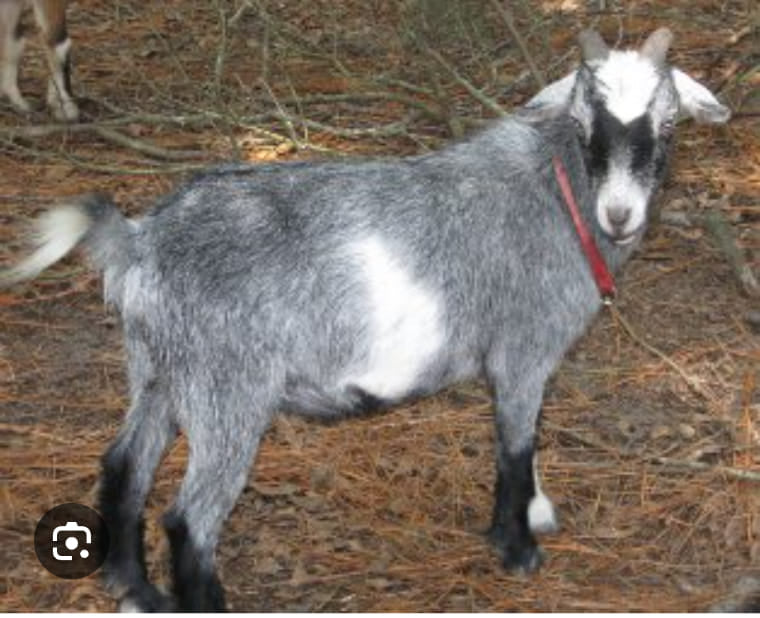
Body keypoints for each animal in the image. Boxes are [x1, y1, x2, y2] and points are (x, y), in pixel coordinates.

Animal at [0, 28, 729, 611]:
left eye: (667, 127)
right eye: (586, 124)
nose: (619, 215)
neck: (553, 193)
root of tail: (139, 240)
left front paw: (528, 520)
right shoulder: (523, 349)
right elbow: (518, 446)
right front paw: (519, 550)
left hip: (157, 370)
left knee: (125, 466)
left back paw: (136, 592)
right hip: (227, 387)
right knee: (189, 518)